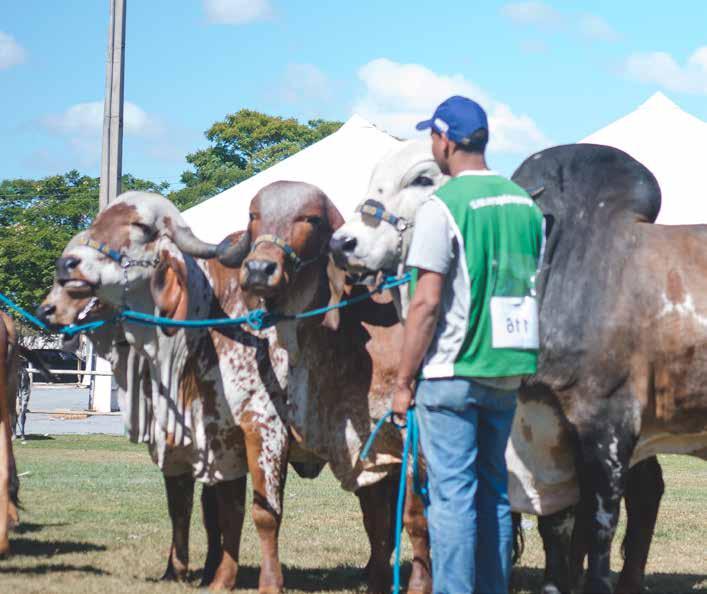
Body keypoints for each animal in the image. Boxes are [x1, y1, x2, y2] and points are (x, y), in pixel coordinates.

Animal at [38, 192, 294, 588]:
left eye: (141, 227)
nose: (67, 266)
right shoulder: (194, 442)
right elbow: (191, 508)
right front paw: (182, 572)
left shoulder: (263, 430)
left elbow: (259, 511)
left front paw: (256, 581)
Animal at [216, 180, 434, 592]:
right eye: (254, 214)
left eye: (310, 219)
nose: (258, 269)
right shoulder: (266, 430)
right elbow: (263, 511)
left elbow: (416, 519)